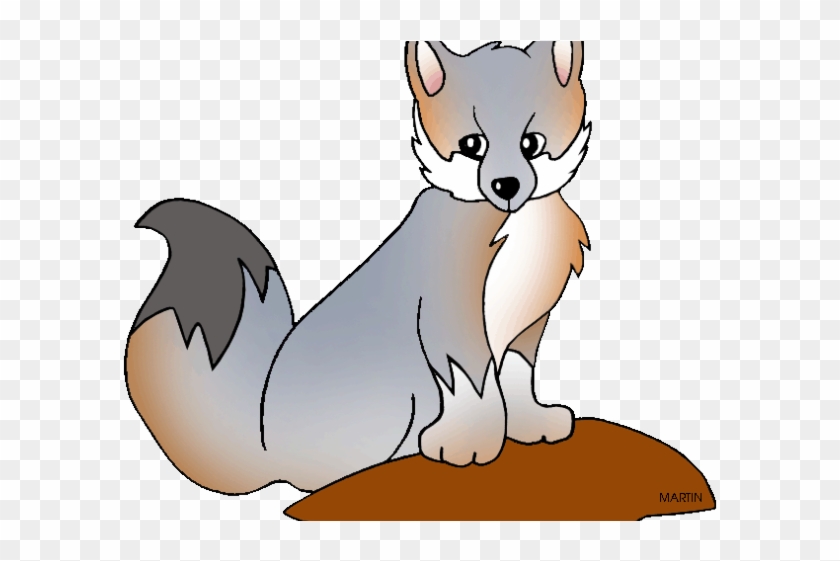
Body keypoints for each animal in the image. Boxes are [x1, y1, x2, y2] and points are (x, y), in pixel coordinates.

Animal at [124, 41, 592, 495]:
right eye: (473, 145)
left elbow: (517, 378)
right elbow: (474, 388)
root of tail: (263, 443)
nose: (507, 186)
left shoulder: (527, 324)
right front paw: (467, 444)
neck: (518, 229)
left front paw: (532, 424)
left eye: (531, 143)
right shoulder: (449, 321)